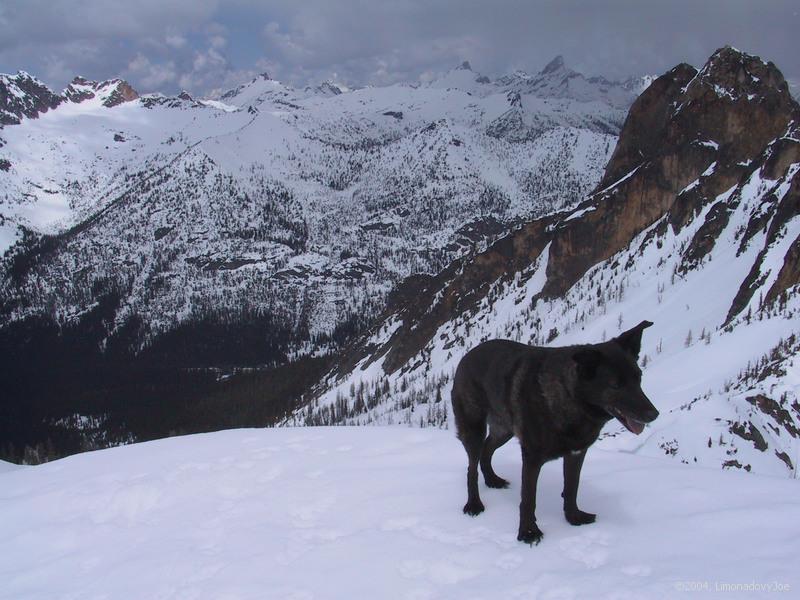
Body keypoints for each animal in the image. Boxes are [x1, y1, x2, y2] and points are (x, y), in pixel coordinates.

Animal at [454, 322, 660, 548]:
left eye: (639, 378)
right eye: (615, 385)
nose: (654, 414)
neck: (571, 397)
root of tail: (466, 356)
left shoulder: (576, 453)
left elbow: (571, 487)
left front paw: (573, 517)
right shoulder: (532, 458)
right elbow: (529, 498)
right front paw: (528, 532)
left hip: (504, 429)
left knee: (487, 449)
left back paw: (492, 479)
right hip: (474, 428)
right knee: (471, 468)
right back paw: (474, 503)